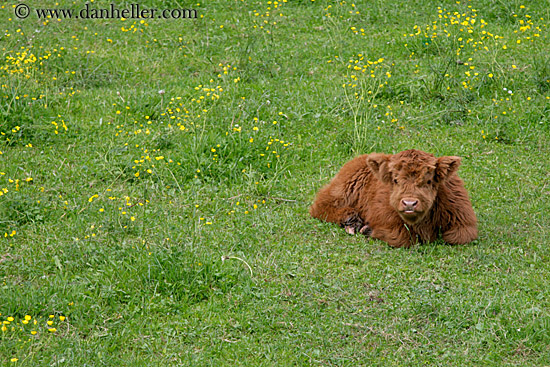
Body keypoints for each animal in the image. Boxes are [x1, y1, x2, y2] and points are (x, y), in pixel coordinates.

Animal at [312, 151, 480, 249]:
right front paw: (367, 229)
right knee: (320, 206)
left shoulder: (464, 222)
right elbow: (401, 238)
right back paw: (351, 220)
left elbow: (457, 236)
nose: (409, 203)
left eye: (428, 181)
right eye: (396, 180)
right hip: (342, 190)